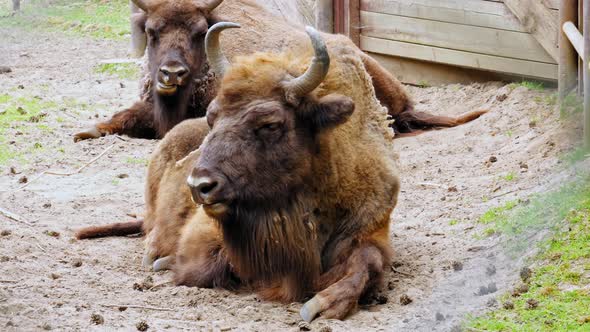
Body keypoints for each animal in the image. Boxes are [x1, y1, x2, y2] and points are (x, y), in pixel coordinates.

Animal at [77, 21, 402, 322]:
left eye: (270, 124)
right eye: (212, 116)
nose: (199, 186)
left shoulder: (372, 227)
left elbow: (369, 261)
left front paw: (322, 305)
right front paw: (167, 262)